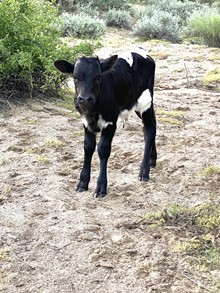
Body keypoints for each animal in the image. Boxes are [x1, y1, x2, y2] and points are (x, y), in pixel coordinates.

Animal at [55, 48, 158, 197]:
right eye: (75, 77)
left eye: (98, 77)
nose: (84, 99)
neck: (93, 111)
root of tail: (143, 53)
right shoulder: (85, 122)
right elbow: (88, 147)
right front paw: (83, 183)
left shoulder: (110, 122)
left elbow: (103, 149)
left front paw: (101, 188)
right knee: (154, 124)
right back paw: (152, 160)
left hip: (145, 102)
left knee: (149, 129)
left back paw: (144, 171)